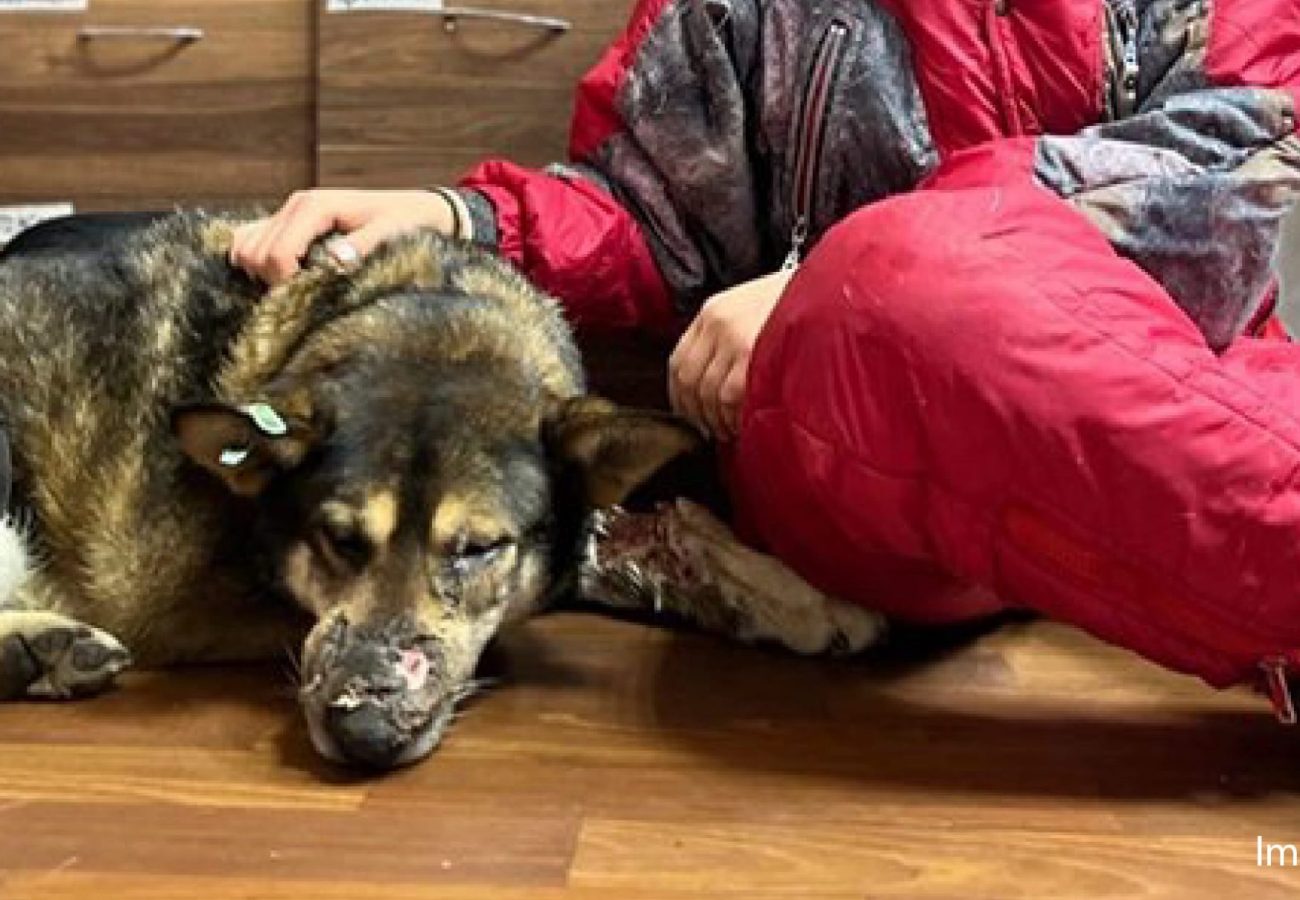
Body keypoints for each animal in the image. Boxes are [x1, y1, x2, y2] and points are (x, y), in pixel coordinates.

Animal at [0, 212, 884, 769]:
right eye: (339, 540)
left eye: (479, 547)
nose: (362, 734)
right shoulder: (176, 599)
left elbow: (617, 536)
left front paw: (788, 589)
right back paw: (37, 646)